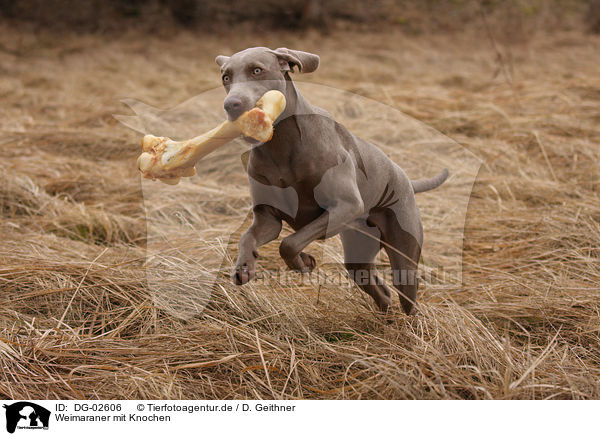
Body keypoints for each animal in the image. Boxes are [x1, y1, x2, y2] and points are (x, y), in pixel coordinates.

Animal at [214, 47, 446, 314]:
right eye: (226, 77)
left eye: (257, 70)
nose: (231, 104)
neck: (281, 144)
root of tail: (406, 179)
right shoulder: (267, 217)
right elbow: (248, 237)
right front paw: (244, 266)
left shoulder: (346, 206)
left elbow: (290, 243)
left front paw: (303, 262)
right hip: (359, 253)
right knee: (379, 288)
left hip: (403, 253)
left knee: (407, 293)